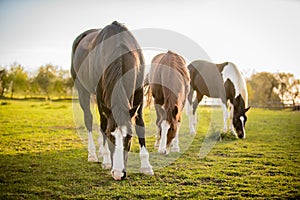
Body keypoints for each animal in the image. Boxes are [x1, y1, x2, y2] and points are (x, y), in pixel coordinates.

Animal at [71, 21, 154, 180]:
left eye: (129, 137)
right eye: (111, 136)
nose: (118, 174)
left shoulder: (139, 95)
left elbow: (140, 124)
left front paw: (146, 166)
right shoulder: (101, 99)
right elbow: (103, 125)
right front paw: (106, 160)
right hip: (82, 90)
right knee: (89, 119)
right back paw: (93, 154)